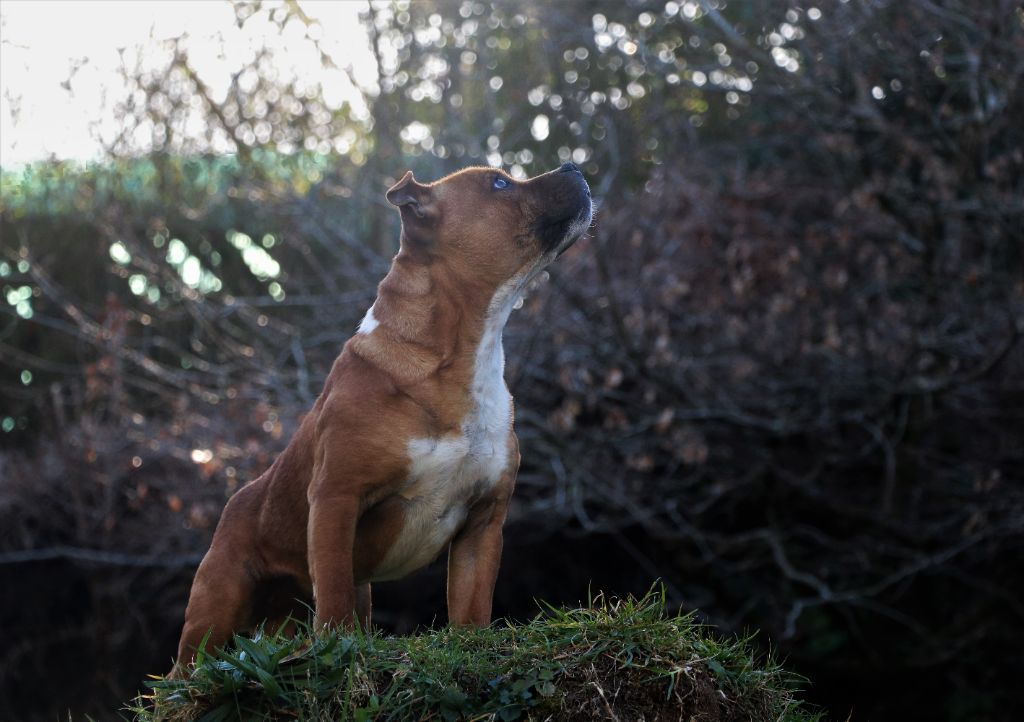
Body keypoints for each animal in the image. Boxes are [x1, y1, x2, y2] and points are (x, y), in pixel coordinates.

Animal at [174, 163, 593, 671]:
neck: (462, 357)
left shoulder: (483, 523)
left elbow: (471, 606)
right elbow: (334, 597)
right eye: (499, 184)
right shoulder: (336, 498)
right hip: (216, 609)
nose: (574, 166)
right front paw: (337, 651)